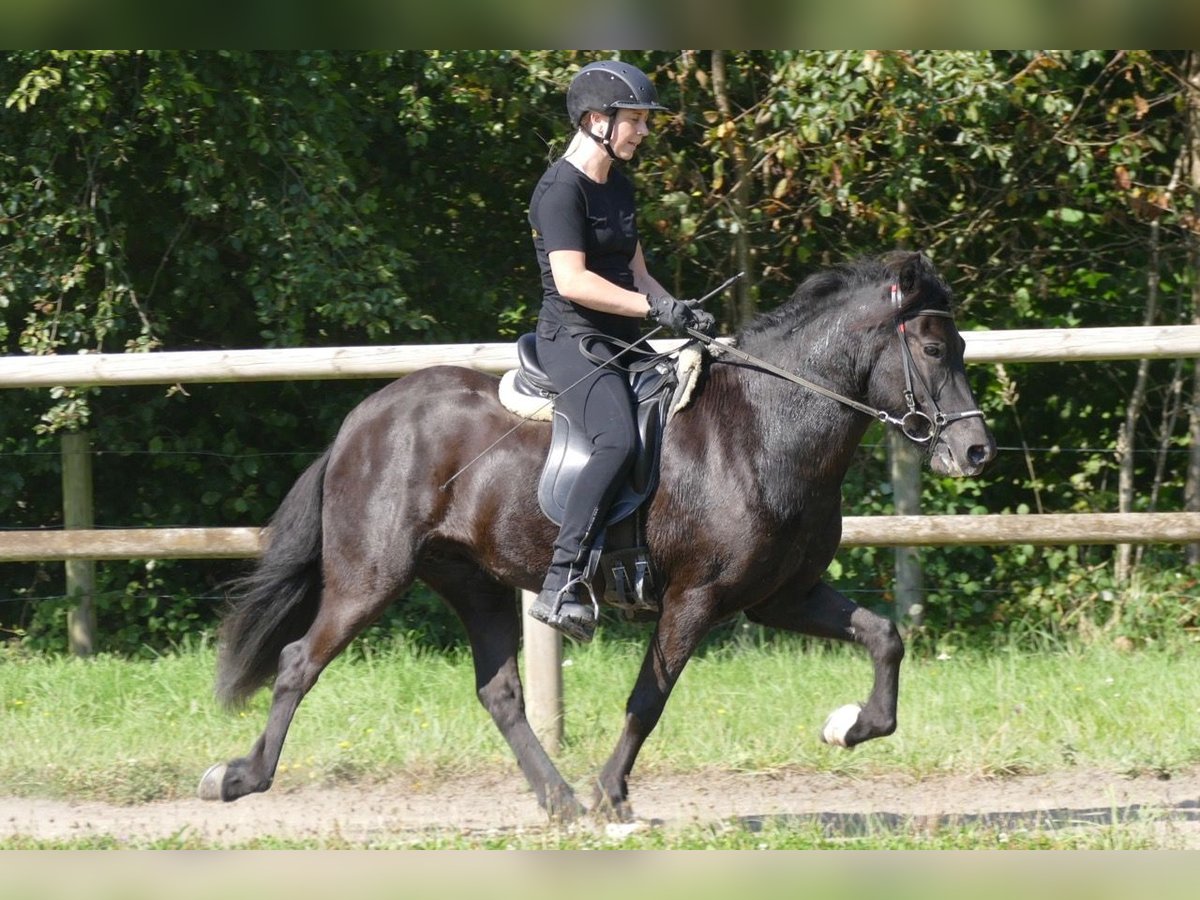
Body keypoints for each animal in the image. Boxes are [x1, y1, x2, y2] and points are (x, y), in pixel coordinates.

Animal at [201, 250, 998, 820]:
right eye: (933, 350)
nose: (975, 453)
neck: (767, 426)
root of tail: (362, 420)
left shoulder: (783, 596)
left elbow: (884, 637)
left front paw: (848, 726)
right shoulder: (695, 598)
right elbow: (650, 697)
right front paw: (614, 794)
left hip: (473, 581)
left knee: (499, 692)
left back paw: (557, 802)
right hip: (371, 576)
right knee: (300, 661)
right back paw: (238, 777)